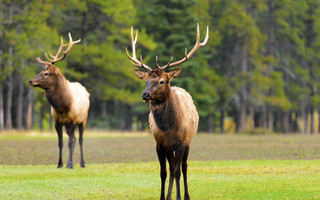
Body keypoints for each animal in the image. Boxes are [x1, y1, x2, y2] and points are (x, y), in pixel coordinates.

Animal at [28, 32, 89, 169]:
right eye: (41, 71)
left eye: (46, 73)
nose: (30, 81)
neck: (63, 106)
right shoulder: (57, 122)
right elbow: (60, 143)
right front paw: (60, 164)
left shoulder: (73, 121)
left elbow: (70, 142)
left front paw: (70, 164)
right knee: (74, 139)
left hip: (83, 120)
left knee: (80, 139)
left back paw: (82, 163)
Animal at [126, 23, 209, 200]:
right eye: (145, 81)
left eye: (162, 81)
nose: (145, 95)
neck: (168, 128)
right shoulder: (160, 144)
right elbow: (163, 172)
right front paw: (164, 196)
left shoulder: (181, 143)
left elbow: (178, 171)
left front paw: (178, 196)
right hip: (169, 148)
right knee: (171, 168)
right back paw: (171, 195)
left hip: (188, 142)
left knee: (184, 167)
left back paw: (185, 195)